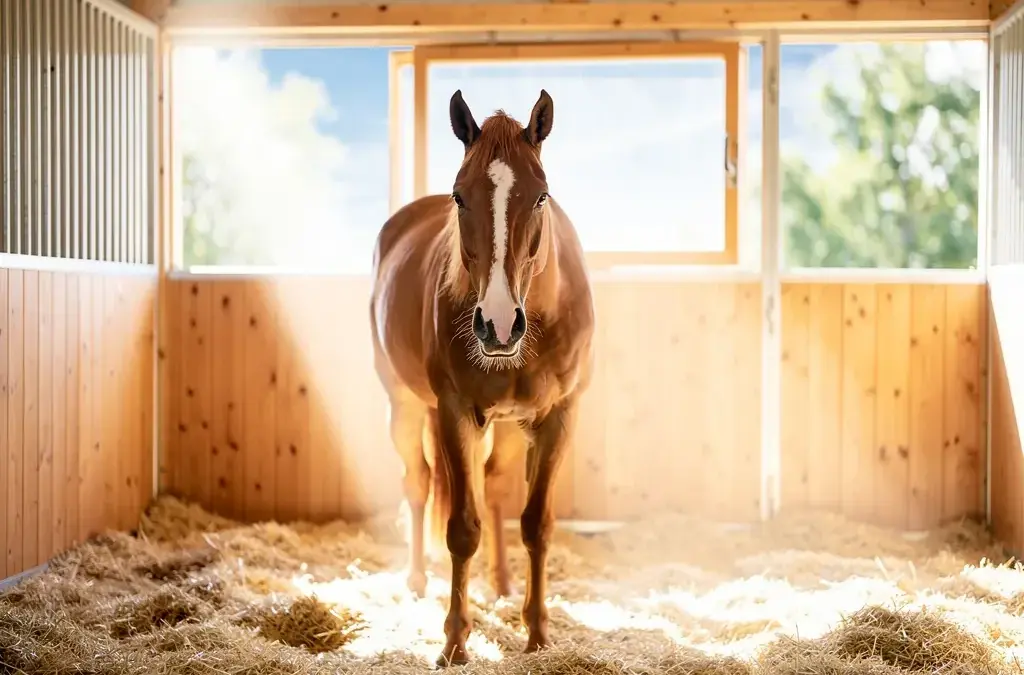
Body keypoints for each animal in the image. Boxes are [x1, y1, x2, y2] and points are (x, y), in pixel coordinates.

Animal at [369, 88, 595, 666]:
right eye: (459, 196)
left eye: (541, 196)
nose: (497, 324)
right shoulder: (454, 413)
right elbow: (460, 528)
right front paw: (454, 640)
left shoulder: (558, 417)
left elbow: (536, 524)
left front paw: (537, 634)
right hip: (405, 408)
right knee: (419, 484)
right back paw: (417, 580)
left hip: (510, 426)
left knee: (492, 488)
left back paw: (501, 584)